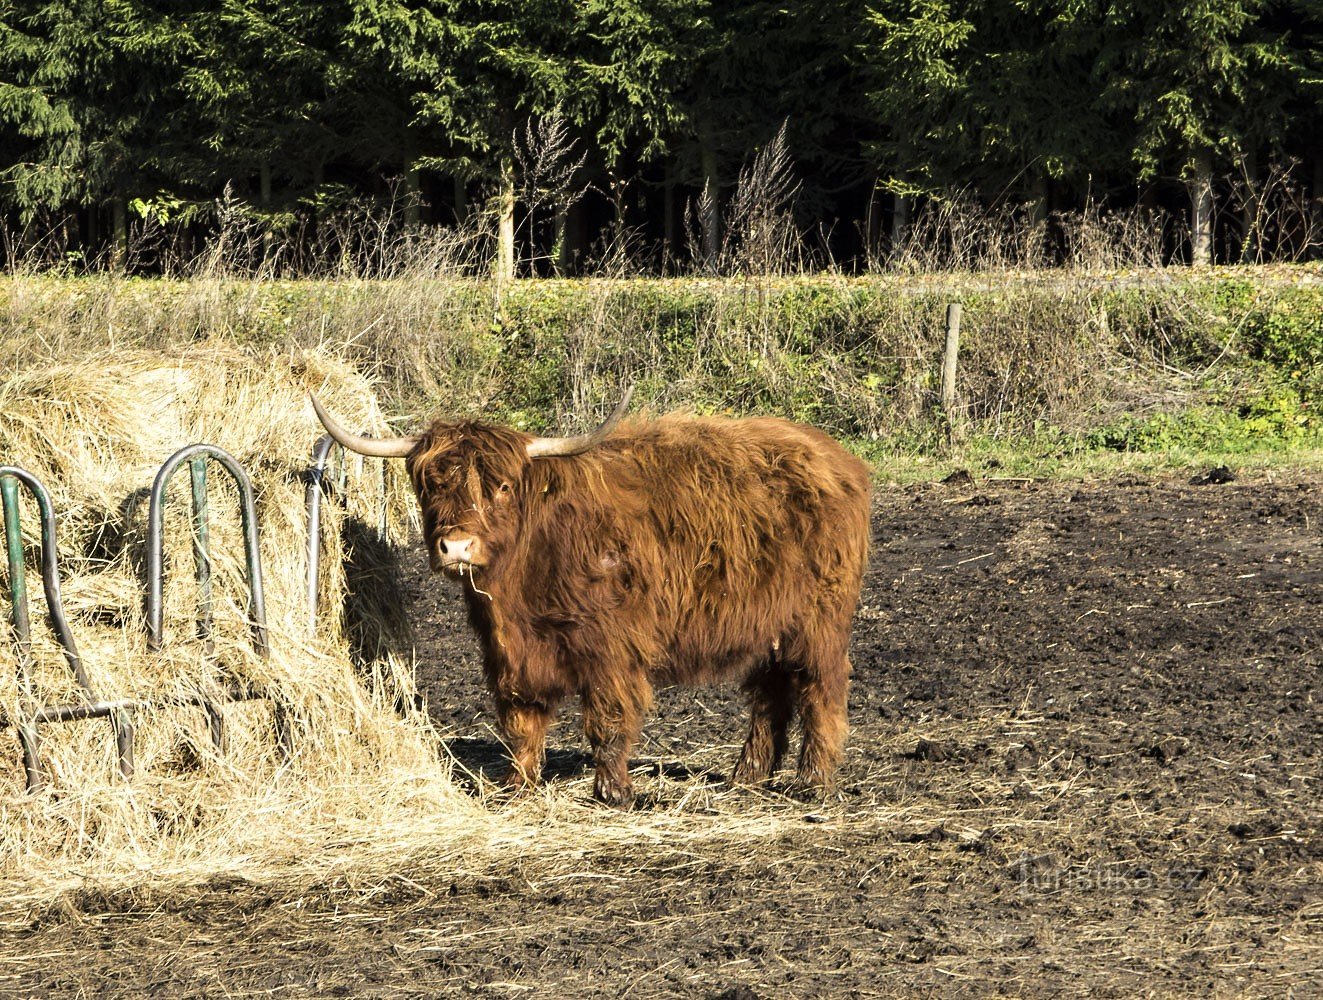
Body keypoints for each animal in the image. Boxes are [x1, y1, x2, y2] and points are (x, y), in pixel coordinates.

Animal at [313, 391, 873, 804]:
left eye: (501, 487)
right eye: (430, 485)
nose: (456, 547)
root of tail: (835, 457)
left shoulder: (612, 649)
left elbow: (607, 718)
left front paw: (613, 792)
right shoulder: (505, 651)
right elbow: (520, 718)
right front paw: (517, 785)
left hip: (818, 620)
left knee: (820, 688)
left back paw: (813, 782)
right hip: (769, 623)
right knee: (770, 693)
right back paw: (747, 775)